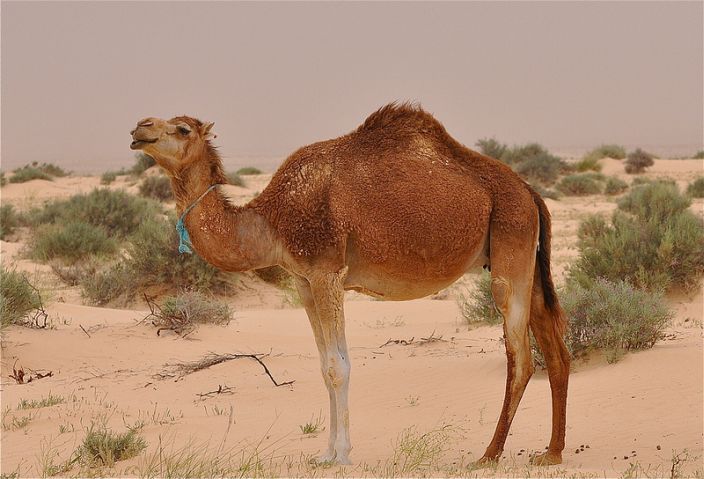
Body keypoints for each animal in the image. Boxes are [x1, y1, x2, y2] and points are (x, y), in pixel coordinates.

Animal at [129, 103, 570, 467]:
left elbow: (338, 366)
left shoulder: (327, 273)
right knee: (555, 348)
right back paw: (551, 452)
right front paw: (325, 453)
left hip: (509, 245)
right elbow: (324, 366)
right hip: (524, 259)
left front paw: (341, 455)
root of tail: (529, 192)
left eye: (182, 128)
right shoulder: (304, 282)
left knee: (521, 356)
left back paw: (489, 455)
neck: (273, 220)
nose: (140, 126)